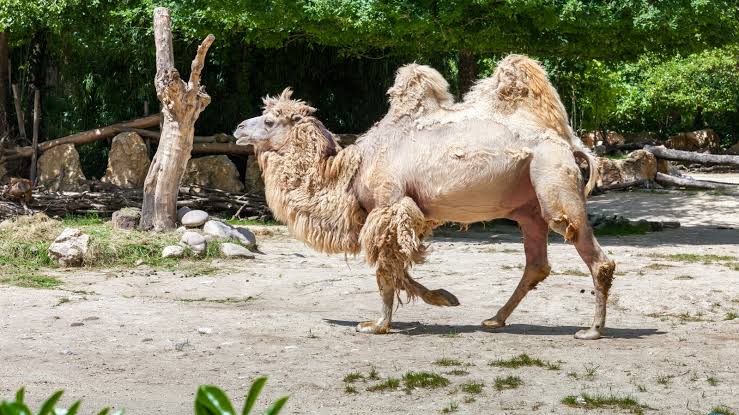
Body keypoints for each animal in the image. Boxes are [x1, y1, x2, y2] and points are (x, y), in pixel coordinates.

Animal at [234, 87, 615, 340]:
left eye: (269, 120)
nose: (237, 128)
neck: (349, 170)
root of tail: (573, 147)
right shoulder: (406, 213)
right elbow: (397, 267)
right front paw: (444, 298)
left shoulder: (387, 206)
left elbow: (385, 271)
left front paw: (377, 325)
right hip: (528, 208)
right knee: (536, 263)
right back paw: (495, 319)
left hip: (553, 184)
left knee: (597, 258)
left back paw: (591, 331)